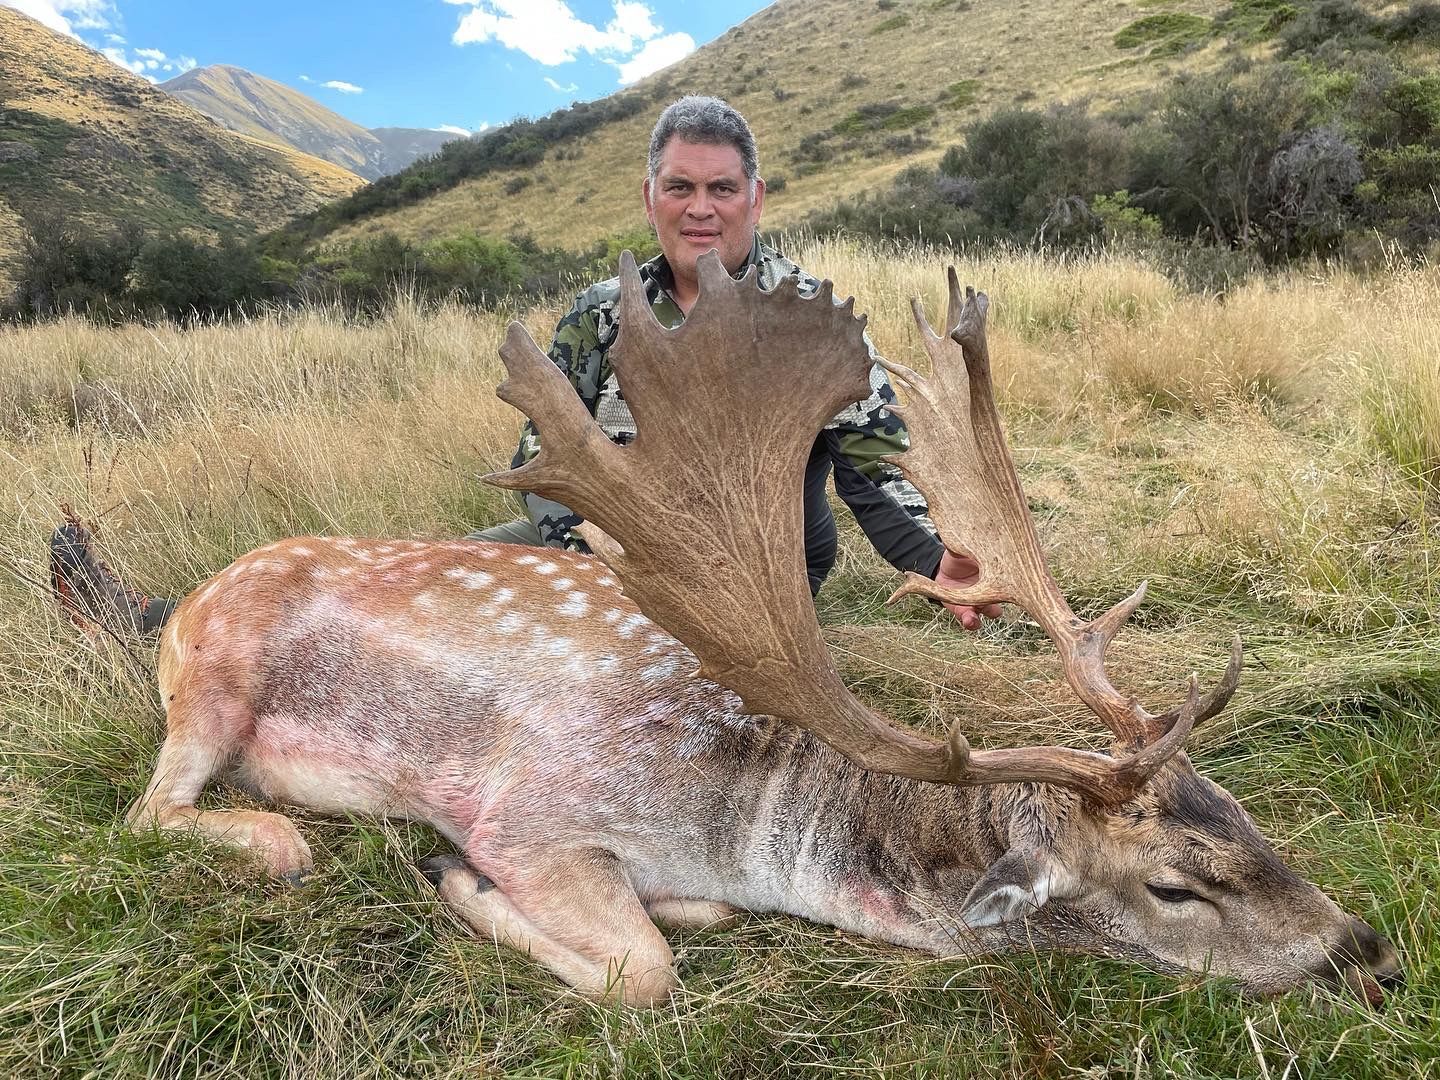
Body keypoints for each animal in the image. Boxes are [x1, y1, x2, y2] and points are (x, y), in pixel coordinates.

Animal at [126, 252, 1402, 1008]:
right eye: (1178, 888)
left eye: (1242, 815)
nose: (1371, 952)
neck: (743, 818)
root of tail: (178, 605)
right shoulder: (531, 811)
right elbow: (642, 971)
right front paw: (458, 882)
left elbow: (678, 921)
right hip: (219, 679)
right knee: (154, 810)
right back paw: (279, 837)